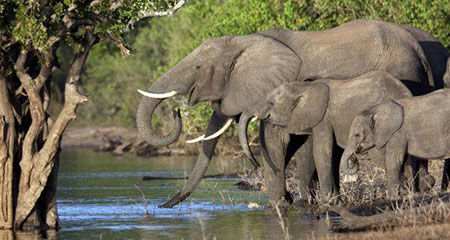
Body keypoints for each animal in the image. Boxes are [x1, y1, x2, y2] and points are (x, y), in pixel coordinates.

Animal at [237, 70, 416, 202]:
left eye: (272, 103)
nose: (255, 164)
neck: (303, 87)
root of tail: (407, 93)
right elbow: (333, 154)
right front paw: (337, 201)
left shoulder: (323, 119)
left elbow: (322, 152)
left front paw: (326, 202)